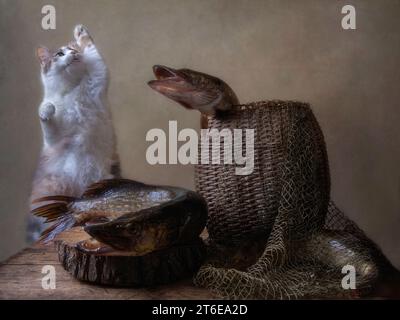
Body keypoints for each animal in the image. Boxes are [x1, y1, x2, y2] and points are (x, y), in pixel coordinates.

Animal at [27, 23, 119, 241]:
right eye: (60, 53)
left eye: (73, 49)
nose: (74, 53)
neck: (73, 90)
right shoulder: (54, 139)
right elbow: (47, 117)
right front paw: (46, 110)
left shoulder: (99, 76)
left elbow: (92, 50)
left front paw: (80, 33)